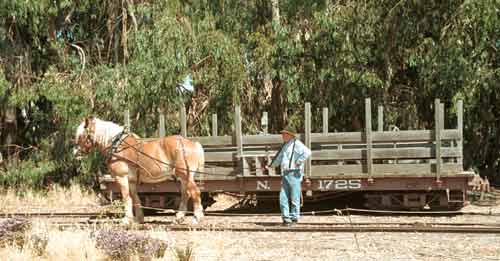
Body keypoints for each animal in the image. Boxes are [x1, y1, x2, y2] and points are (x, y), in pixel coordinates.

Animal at [73, 116, 205, 223]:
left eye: (81, 135)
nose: (75, 152)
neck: (117, 146)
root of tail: (193, 144)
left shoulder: (121, 177)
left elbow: (126, 197)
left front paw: (126, 219)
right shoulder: (131, 180)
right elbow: (135, 198)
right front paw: (139, 218)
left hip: (186, 175)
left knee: (195, 192)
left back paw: (196, 218)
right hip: (183, 178)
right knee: (185, 194)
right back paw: (179, 217)